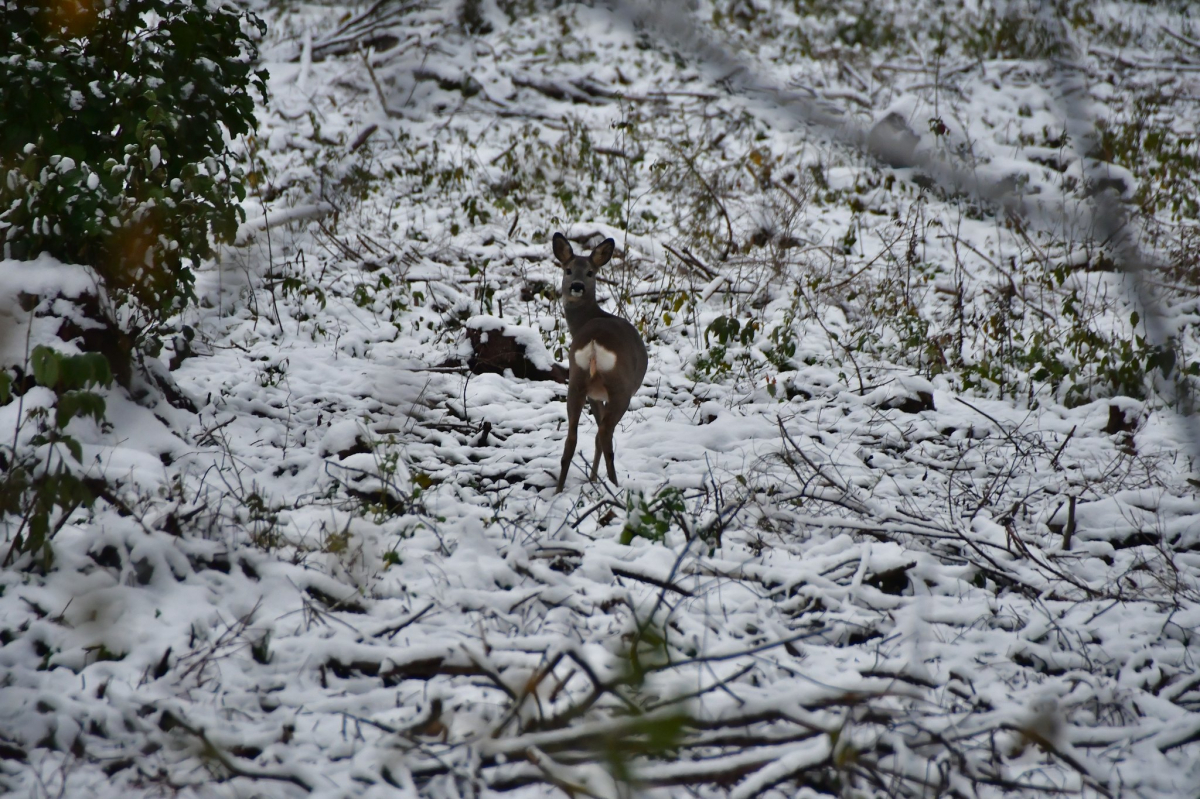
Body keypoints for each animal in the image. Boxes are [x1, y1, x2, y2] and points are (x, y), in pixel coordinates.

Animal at [552, 230, 648, 491]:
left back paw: (559, 489)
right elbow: (599, 435)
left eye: (590, 272)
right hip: (620, 387)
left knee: (572, 436)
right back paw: (614, 485)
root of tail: (594, 343)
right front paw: (596, 479)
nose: (576, 286)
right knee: (605, 433)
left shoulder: (593, 395)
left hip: (576, 381)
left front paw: (592, 478)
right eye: (567, 270)